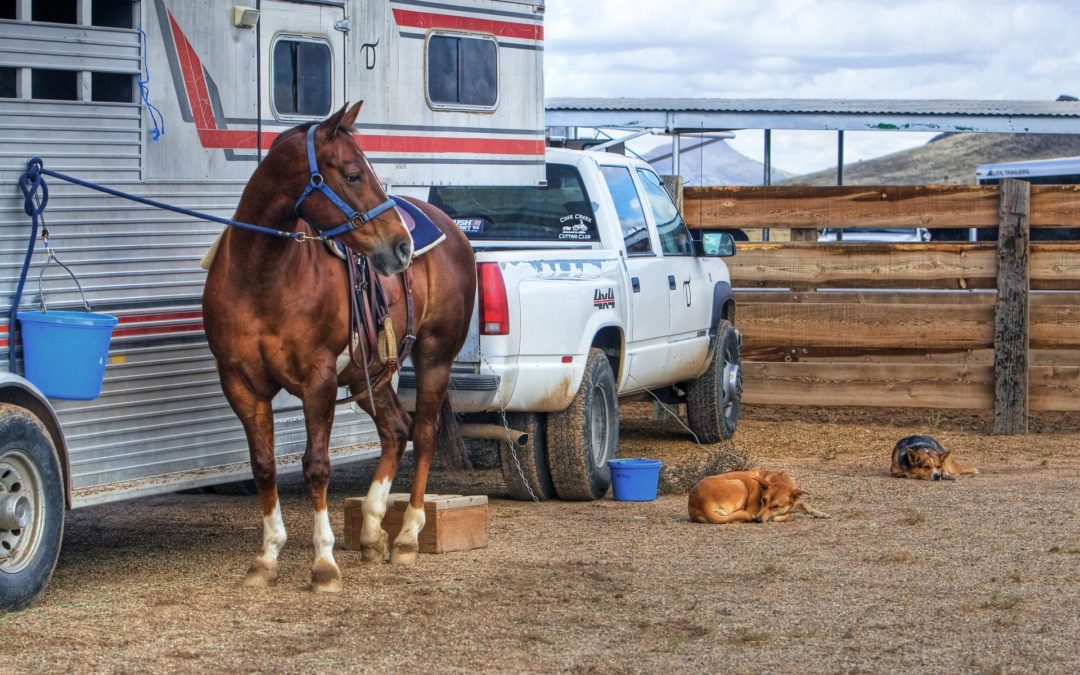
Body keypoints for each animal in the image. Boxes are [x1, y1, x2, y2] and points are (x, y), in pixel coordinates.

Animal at [203, 101, 473, 587]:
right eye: (352, 174)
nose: (401, 246)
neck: (263, 276)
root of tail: (452, 229)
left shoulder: (319, 379)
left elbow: (316, 465)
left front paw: (324, 562)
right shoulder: (240, 382)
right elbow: (264, 464)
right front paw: (267, 557)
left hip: (434, 358)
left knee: (422, 434)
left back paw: (407, 536)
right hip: (370, 375)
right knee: (396, 430)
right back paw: (370, 531)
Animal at [686, 468, 829, 527]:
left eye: (776, 506)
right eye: (763, 500)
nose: (758, 520)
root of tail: (700, 503)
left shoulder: (792, 503)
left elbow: (803, 504)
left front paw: (821, 514)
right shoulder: (753, 510)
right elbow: (788, 515)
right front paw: (778, 518)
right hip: (739, 484)